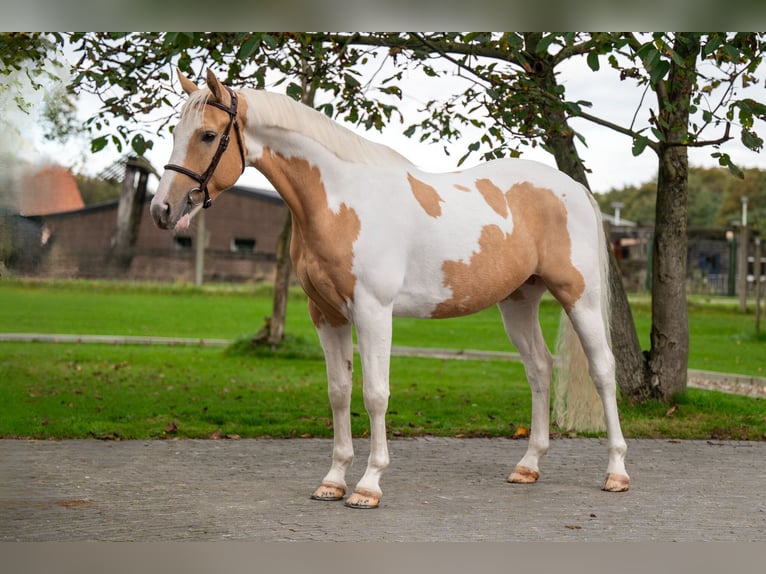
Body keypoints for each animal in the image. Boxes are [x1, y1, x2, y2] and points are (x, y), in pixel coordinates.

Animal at [148, 70, 632, 510]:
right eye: (175, 132)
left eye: (209, 135)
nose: (162, 210)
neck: (339, 202)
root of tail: (576, 190)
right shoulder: (326, 314)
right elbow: (338, 392)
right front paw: (333, 481)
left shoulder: (373, 311)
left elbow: (375, 395)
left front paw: (368, 485)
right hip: (518, 301)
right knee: (540, 369)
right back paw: (528, 466)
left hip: (579, 297)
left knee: (603, 370)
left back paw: (616, 472)